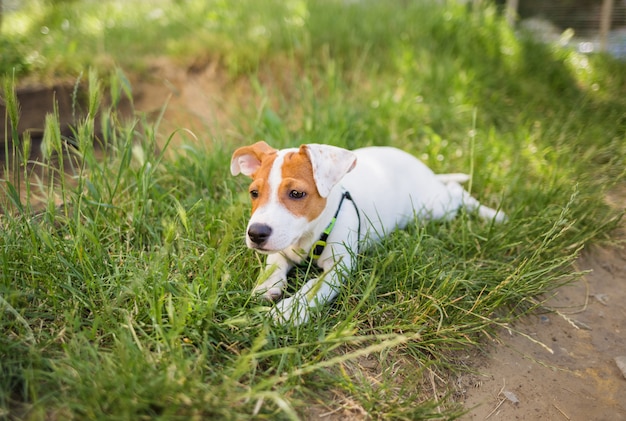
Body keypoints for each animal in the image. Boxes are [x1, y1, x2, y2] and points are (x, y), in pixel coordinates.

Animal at [229, 142, 502, 324]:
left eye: (296, 194)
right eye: (254, 193)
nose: (256, 234)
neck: (309, 235)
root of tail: (424, 169)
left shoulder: (339, 265)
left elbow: (314, 289)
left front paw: (289, 311)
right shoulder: (284, 247)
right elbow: (274, 262)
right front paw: (268, 284)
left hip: (436, 208)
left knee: (457, 192)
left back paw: (494, 215)